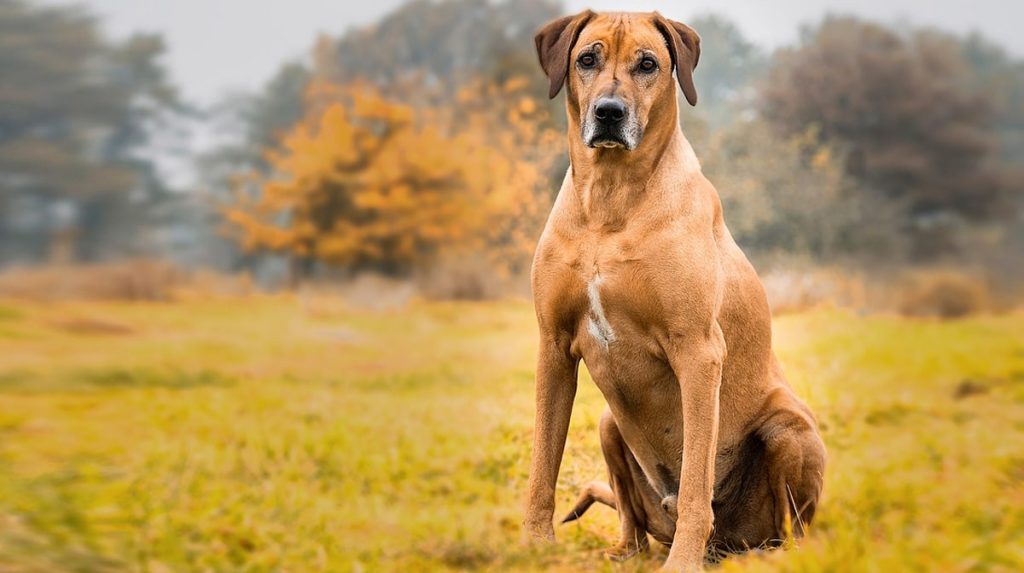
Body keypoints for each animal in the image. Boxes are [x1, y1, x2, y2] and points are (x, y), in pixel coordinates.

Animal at [524, 10, 827, 573]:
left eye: (648, 64)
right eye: (587, 59)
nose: (609, 112)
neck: (611, 198)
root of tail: (728, 546)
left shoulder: (699, 352)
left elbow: (694, 484)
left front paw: (682, 562)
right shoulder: (553, 345)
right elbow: (542, 465)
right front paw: (532, 548)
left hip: (788, 430)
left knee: (789, 529)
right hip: (609, 424)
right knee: (632, 519)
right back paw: (624, 551)